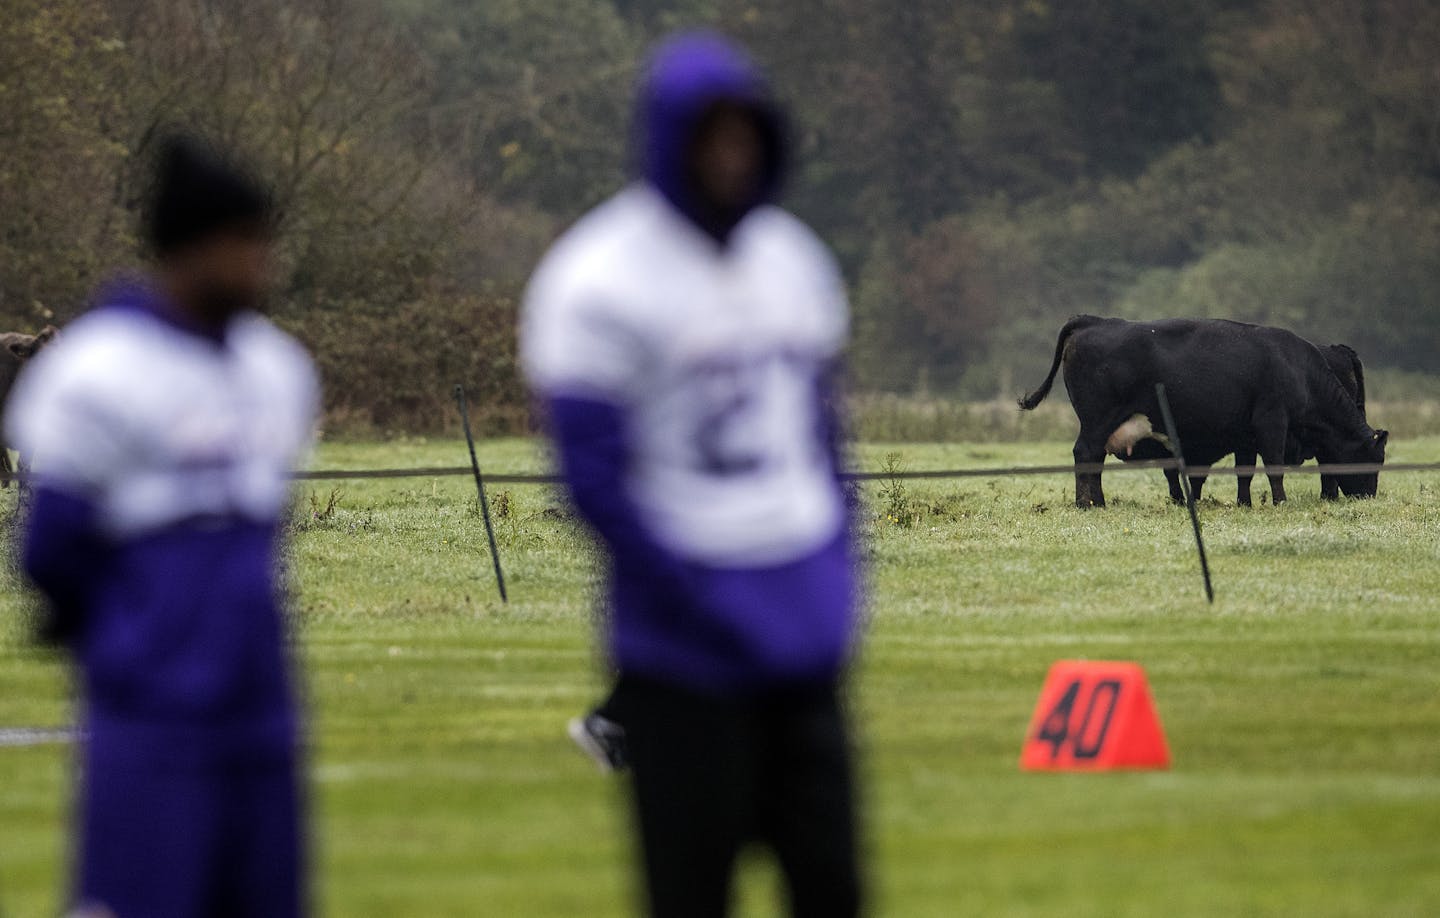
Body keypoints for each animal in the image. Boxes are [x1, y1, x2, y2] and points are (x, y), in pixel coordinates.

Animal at [1019, 317, 1388, 512]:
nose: (1369, 498)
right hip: (1097, 422)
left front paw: (1244, 504)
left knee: (1092, 459)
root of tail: (1095, 321)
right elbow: (1274, 467)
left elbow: (1245, 473)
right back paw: (1090, 503)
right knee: (1086, 455)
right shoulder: (1272, 421)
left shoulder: (1246, 435)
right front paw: (1280, 502)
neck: (1295, 367)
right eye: (1375, 459)